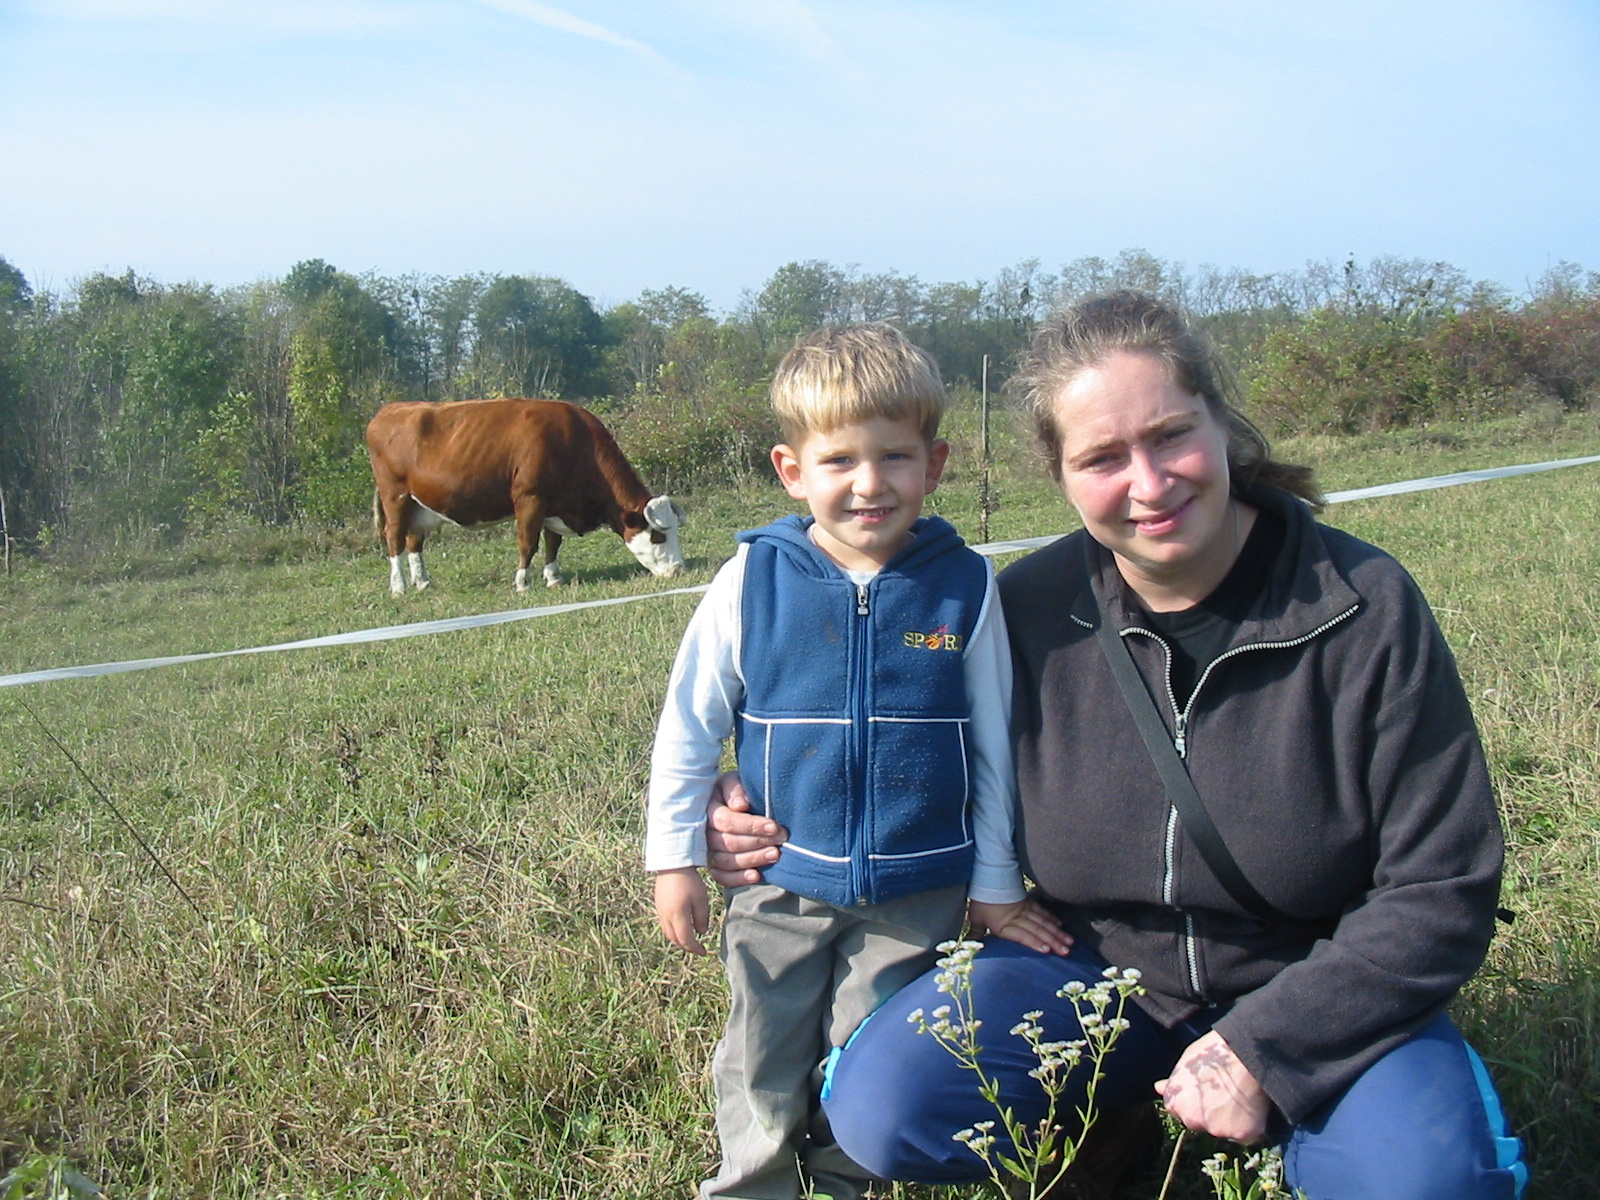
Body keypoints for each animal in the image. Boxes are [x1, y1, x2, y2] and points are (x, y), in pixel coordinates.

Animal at [366, 401, 684, 595]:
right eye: (657, 536)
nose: (679, 569)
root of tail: (390, 409)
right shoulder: (530, 498)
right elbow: (528, 543)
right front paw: (522, 583)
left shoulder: (555, 504)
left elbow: (553, 543)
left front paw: (553, 578)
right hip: (395, 495)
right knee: (394, 537)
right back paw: (399, 586)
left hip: (418, 504)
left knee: (413, 540)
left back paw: (422, 581)